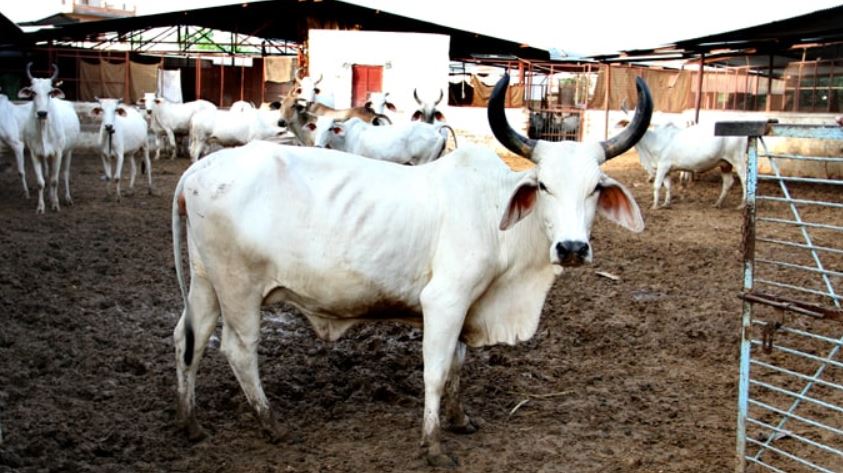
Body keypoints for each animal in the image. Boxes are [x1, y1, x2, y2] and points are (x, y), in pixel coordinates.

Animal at [17, 61, 79, 213]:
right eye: (33, 92)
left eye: (50, 92)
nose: (42, 113)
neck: (43, 127)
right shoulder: (35, 153)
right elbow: (41, 182)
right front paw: (41, 206)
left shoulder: (58, 152)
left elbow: (55, 180)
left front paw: (55, 204)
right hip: (47, 156)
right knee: (48, 174)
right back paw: (50, 196)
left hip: (68, 151)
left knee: (64, 174)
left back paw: (67, 198)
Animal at [310, 115, 454, 165]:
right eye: (316, 127)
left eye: (330, 128)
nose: (317, 146)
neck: (346, 136)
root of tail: (435, 127)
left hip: (423, 161)